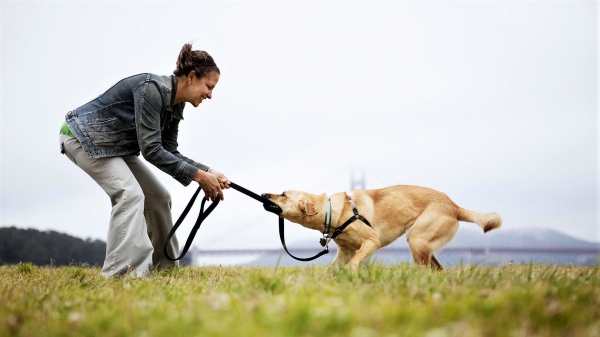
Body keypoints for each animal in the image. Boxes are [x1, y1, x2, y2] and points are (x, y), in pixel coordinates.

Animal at [262, 185, 502, 272]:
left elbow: (355, 262)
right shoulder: (344, 253)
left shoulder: (371, 242)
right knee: (438, 269)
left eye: (283, 194)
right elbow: (329, 270)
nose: (263, 194)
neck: (333, 211)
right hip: (423, 243)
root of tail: (454, 206)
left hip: (417, 240)